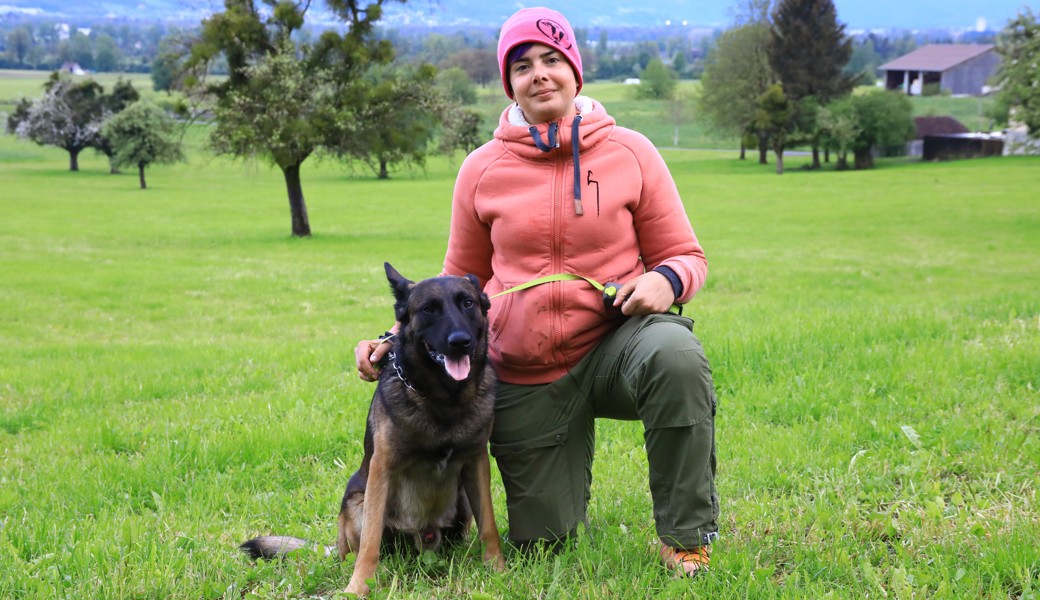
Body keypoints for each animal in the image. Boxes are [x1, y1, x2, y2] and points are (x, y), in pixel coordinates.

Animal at [240, 262, 507, 594]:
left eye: (467, 303)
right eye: (429, 309)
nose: (460, 341)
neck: (444, 399)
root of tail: (424, 535)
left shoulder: (476, 463)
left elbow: (489, 525)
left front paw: (497, 568)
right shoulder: (382, 468)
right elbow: (370, 543)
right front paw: (358, 587)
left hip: (462, 499)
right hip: (357, 501)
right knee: (356, 548)